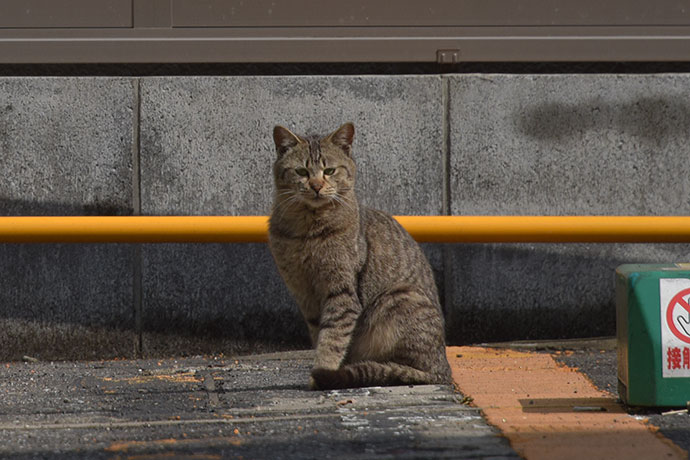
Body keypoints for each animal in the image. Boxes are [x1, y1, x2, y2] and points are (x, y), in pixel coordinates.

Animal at [266, 122, 448, 388]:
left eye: (329, 171)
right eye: (301, 171)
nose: (316, 186)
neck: (307, 231)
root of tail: (445, 369)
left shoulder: (341, 292)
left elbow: (332, 338)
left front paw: (321, 372)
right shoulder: (305, 296)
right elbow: (321, 335)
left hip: (398, 298)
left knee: (409, 369)